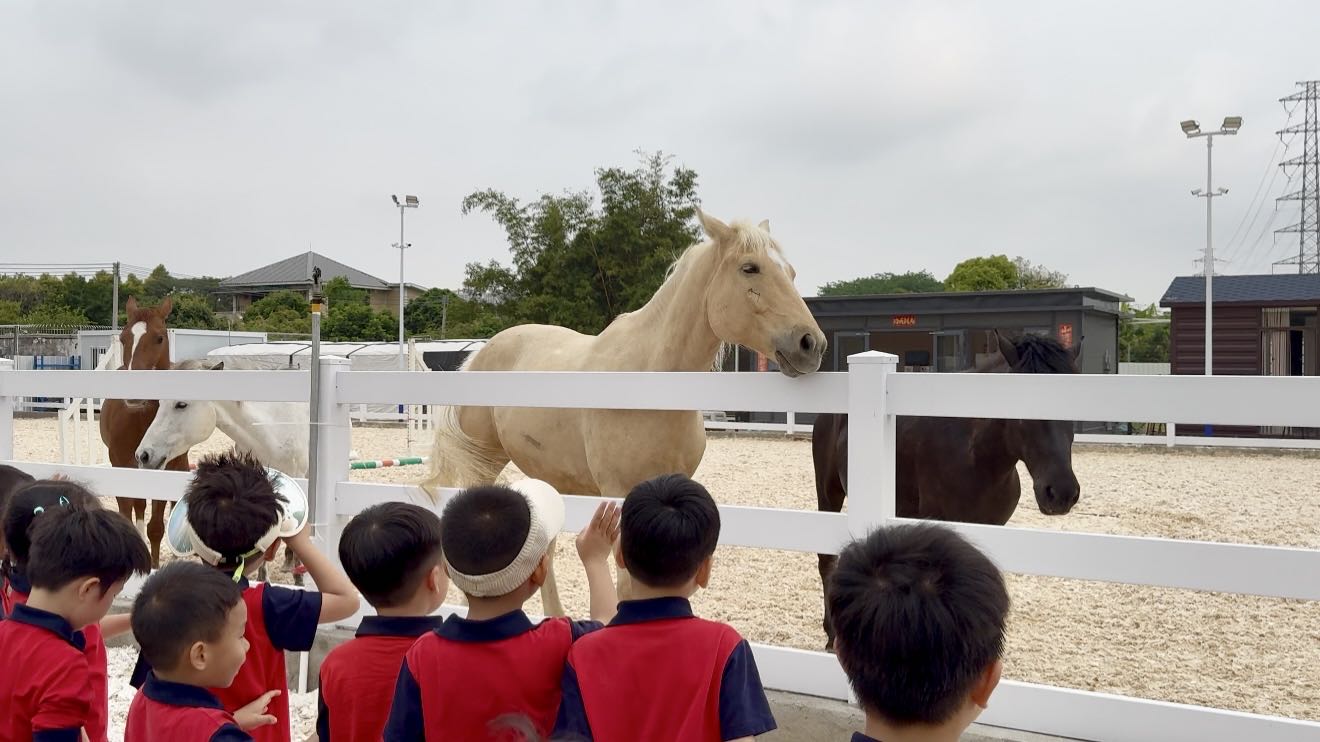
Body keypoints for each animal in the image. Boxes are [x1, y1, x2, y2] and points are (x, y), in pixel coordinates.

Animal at [98, 296, 181, 566]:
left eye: (159, 338)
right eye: (124, 338)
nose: (134, 392)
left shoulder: (164, 468)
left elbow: (156, 527)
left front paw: (154, 567)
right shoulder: (121, 463)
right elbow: (129, 512)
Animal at [426, 209, 827, 616]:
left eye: (790, 272)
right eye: (750, 268)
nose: (811, 343)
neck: (648, 380)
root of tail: (482, 352)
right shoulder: (618, 495)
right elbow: (626, 587)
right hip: (485, 465)